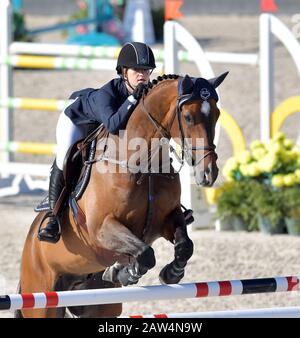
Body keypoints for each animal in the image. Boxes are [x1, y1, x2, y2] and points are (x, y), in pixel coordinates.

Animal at [17, 71, 227, 316]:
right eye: (188, 117)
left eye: (217, 114)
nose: (209, 173)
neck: (142, 164)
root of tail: (29, 246)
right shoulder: (101, 229)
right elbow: (145, 254)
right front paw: (125, 272)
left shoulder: (167, 218)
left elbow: (185, 246)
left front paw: (171, 273)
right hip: (42, 297)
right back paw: (51, 228)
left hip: (100, 303)